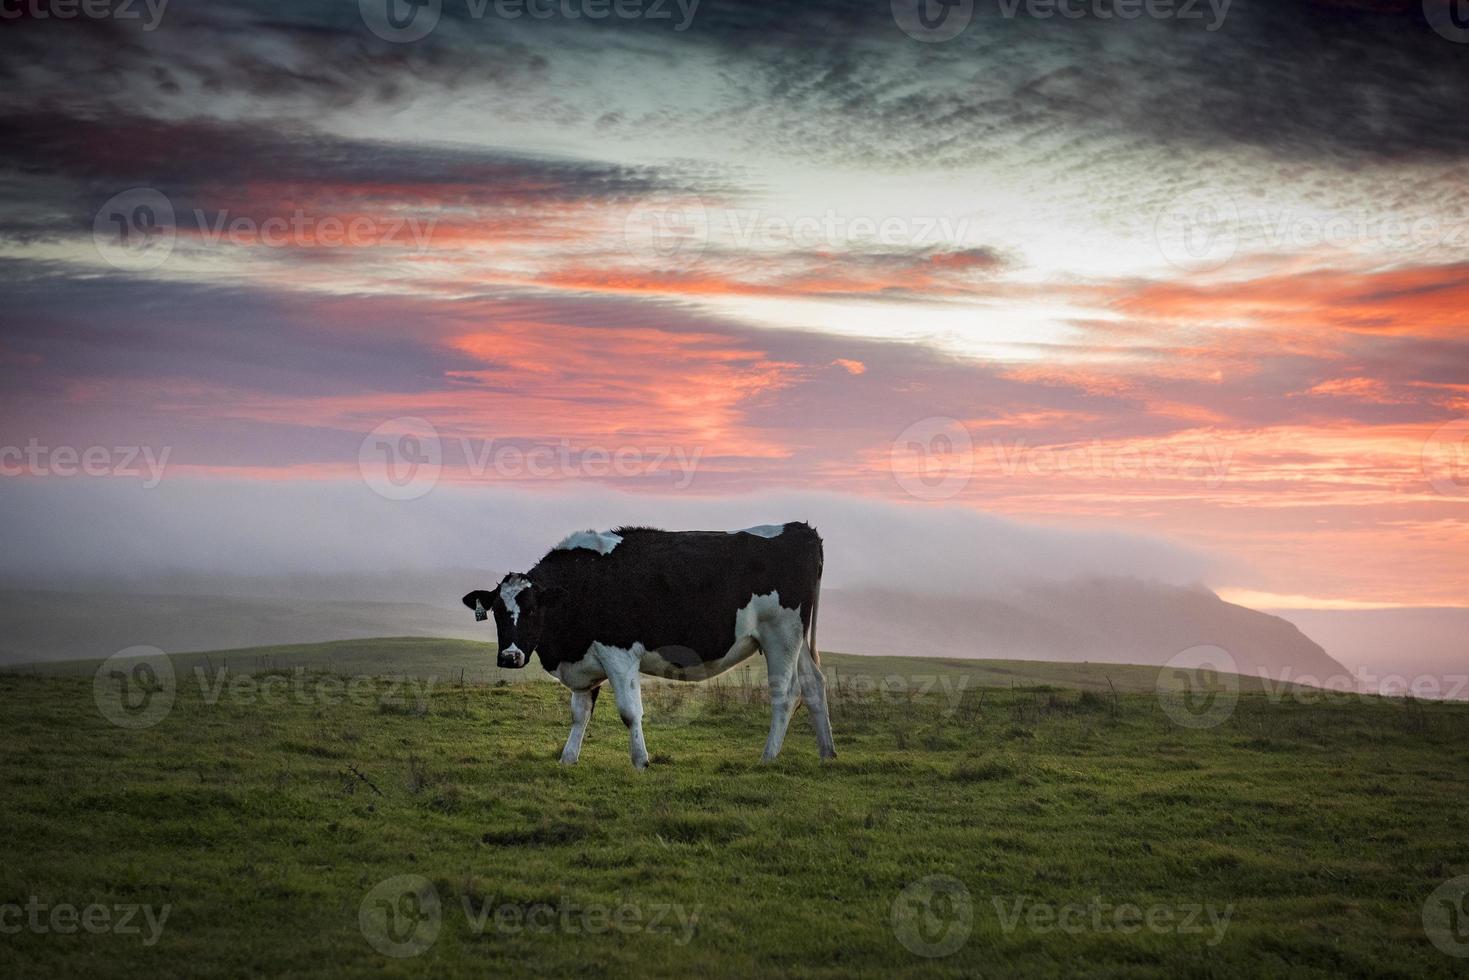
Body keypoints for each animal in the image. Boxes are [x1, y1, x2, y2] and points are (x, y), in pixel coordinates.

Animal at [458, 525, 834, 769]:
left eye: (533, 610)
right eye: (497, 612)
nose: (510, 657)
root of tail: (800, 529)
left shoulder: (619, 654)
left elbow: (629, 712)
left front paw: (641, 761)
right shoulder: (584, 660)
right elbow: (580, 713)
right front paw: (567, 759)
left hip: (780, 634)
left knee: (786, 693)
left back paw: (767, 758)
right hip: (797, 638)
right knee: (814, 685)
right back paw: (828, 753)